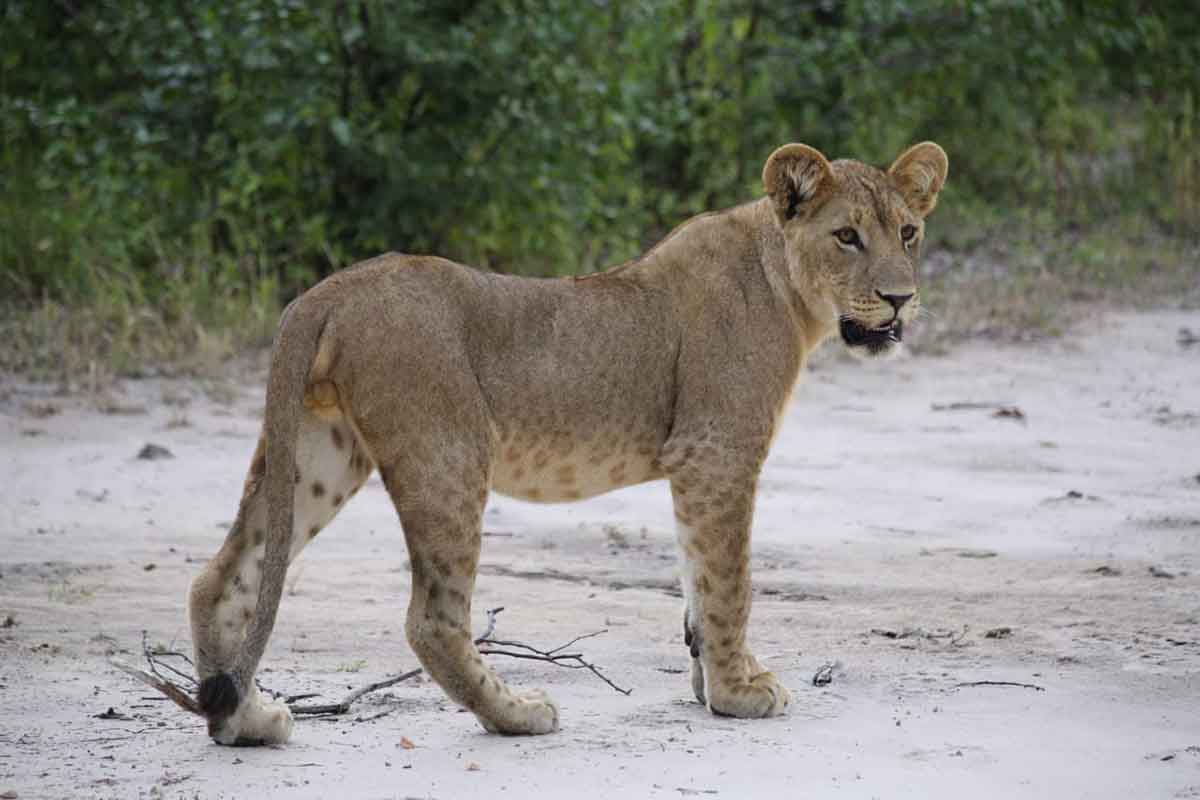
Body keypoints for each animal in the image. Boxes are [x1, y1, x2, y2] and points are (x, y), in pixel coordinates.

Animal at [187, 142, 950, 743]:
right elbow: (729, 581)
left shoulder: (698, 466)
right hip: (448, 454)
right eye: (847, 236)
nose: (900, 299)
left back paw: (244, 721)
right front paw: (739, 694)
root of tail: (330, 290)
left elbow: (697, 581)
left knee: (221, 579)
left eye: (909, 232)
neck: (787, 289)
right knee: (433, 620)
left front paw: (711, 683)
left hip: (320, 453)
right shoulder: (717, 453)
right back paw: (518, 713)